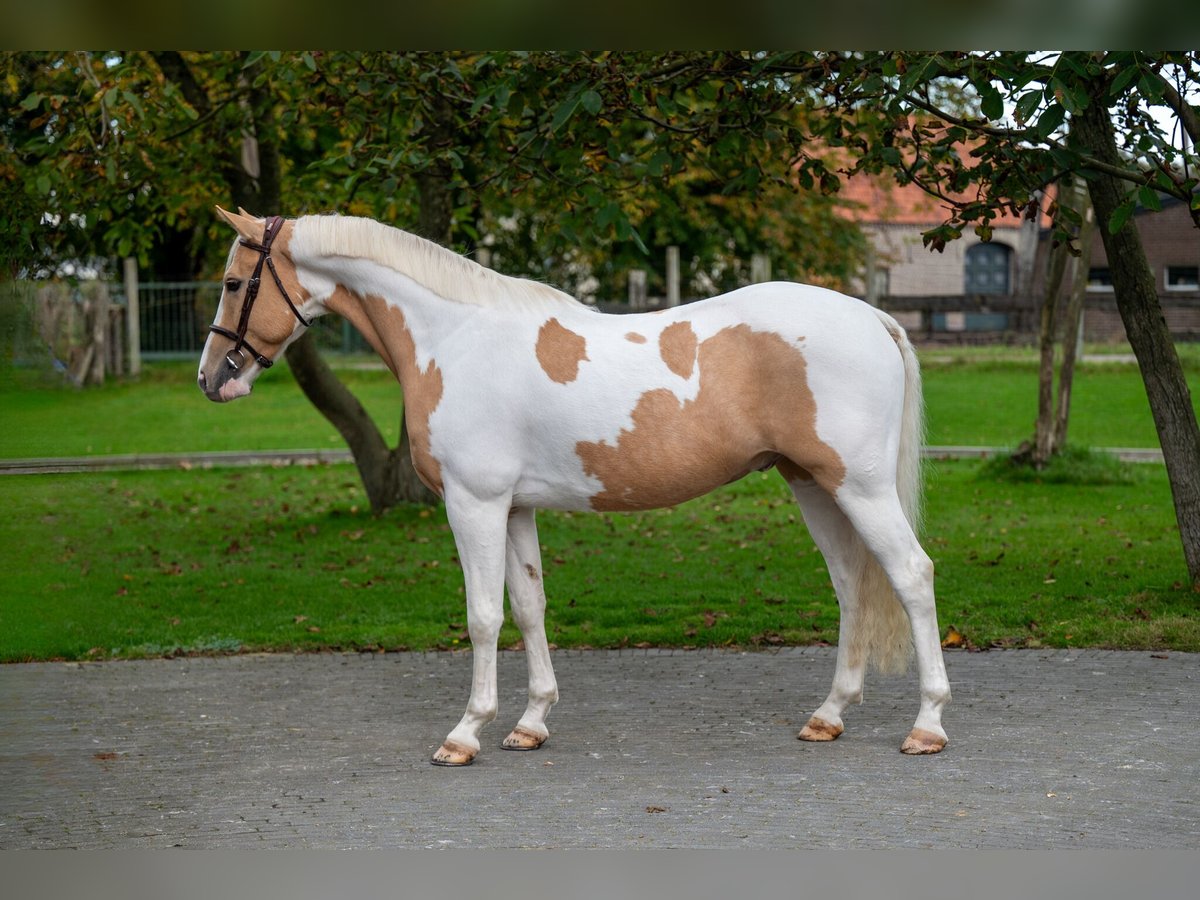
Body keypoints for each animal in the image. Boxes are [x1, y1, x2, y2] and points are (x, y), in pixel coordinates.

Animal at [196, 211, 950, 768]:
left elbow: (483, 617)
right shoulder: (514, 508)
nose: (212, 378)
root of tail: (873, 318)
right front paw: (530, 723)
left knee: (911, 575)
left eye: (234, 282)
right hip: (813, 485)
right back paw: (828, 716)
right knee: (852, 585)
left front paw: (464, 734)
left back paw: (927, 725)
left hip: (859, 487)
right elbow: (529, 608)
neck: (454, 337)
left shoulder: (473, 503)